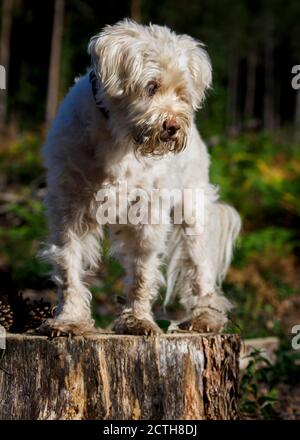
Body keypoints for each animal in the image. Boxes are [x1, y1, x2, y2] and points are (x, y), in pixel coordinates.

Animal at [39, 18, 241, 336]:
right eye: (151, 86)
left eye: (182, 93)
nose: (172, 125)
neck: (118, 139)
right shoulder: (69, 207)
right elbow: (68, 266)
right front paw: (69, 320)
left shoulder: (146, 213)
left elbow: (142, 272)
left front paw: (137, 320)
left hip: (193, 212)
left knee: (201, 269)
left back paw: (205, 317)